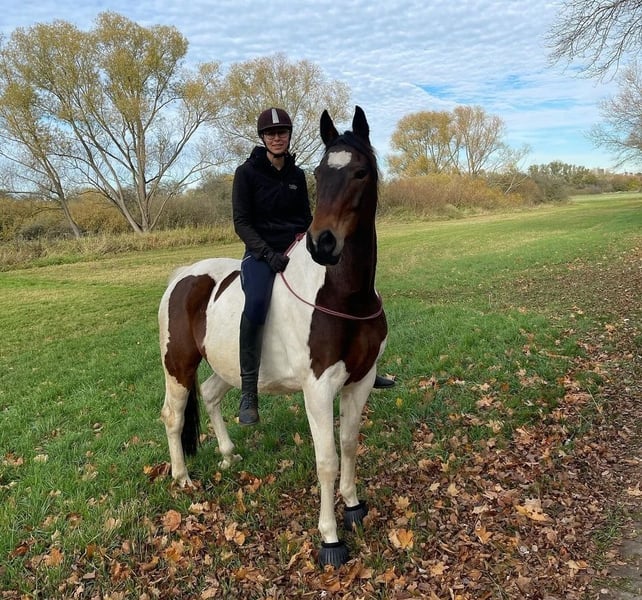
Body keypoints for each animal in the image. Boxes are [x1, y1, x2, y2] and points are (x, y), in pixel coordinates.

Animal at [158, 106, 387, 568]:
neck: (342, 296)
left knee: (210, 395)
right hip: (178, 366)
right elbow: (327, 459)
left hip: (228, 366)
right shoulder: (318, 389)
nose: (322, 244)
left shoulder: (362, 379)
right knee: (173, 416)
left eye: (360, 172)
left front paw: (354, 507)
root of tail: (182, 276)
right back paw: (182, 477)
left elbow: (350, 444)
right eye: (319, 172)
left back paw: (228, 454)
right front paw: (330, 538)